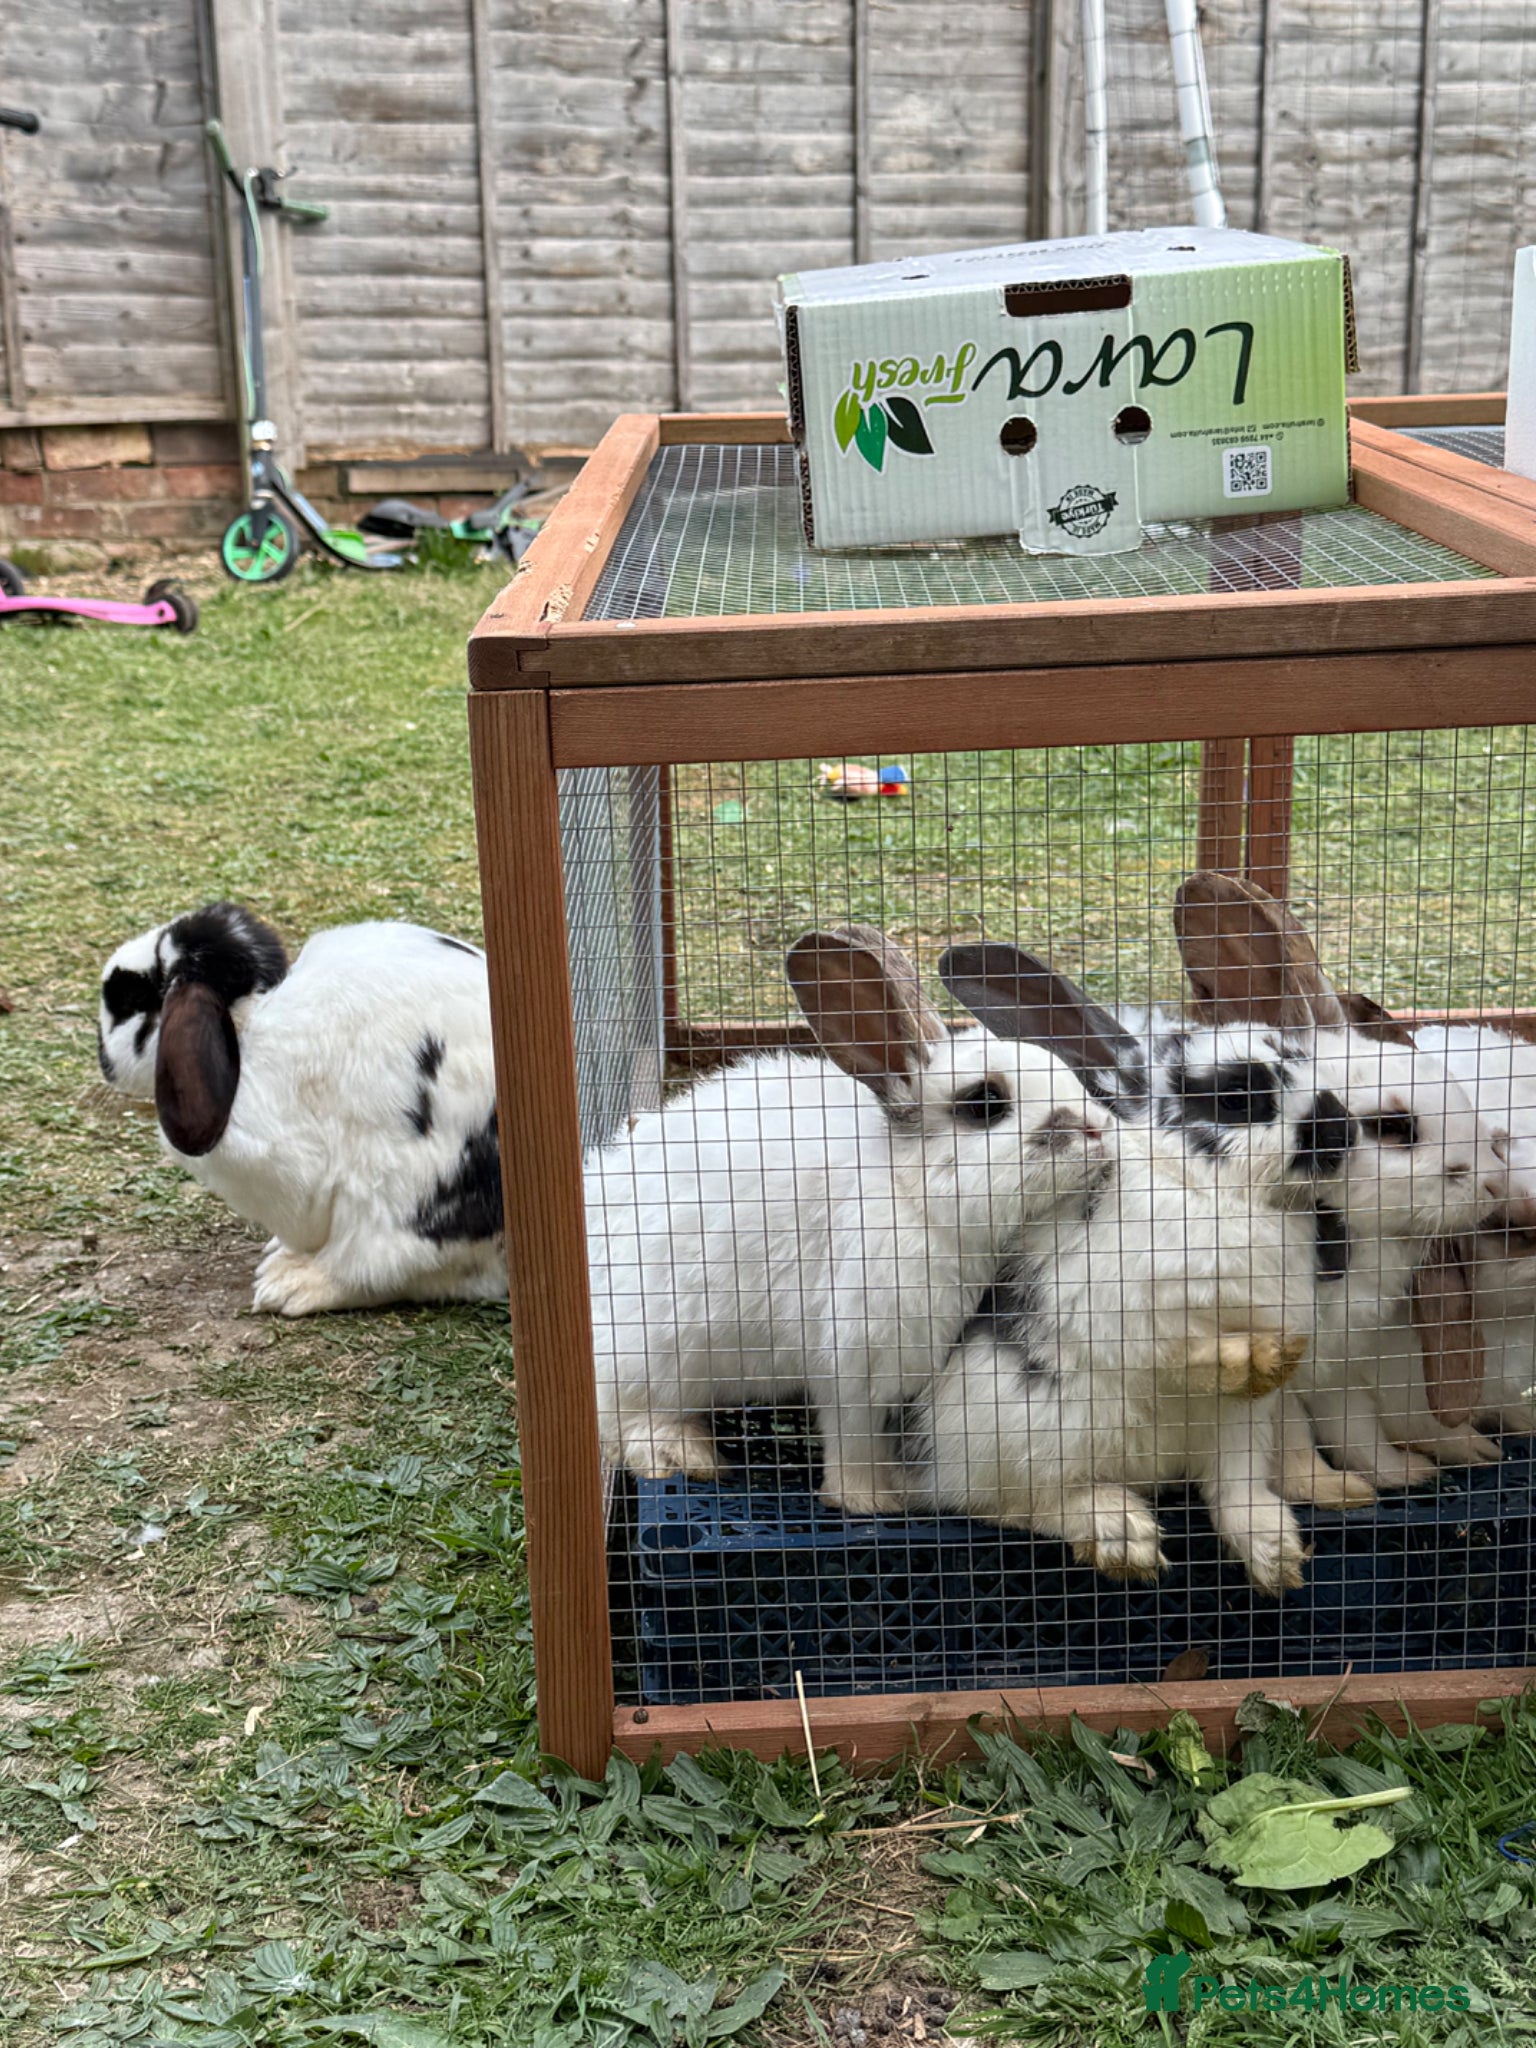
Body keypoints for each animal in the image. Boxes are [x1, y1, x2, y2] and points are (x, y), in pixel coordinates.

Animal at [585, 924, 1113, 1516]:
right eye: (984, 1102)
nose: (1097, 1129)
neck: (911, 1195)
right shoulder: (857, 1357)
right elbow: (854, 1437)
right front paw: (874, 1500)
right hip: (657, 1350)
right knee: (621, 1412)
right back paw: (683, 1454)